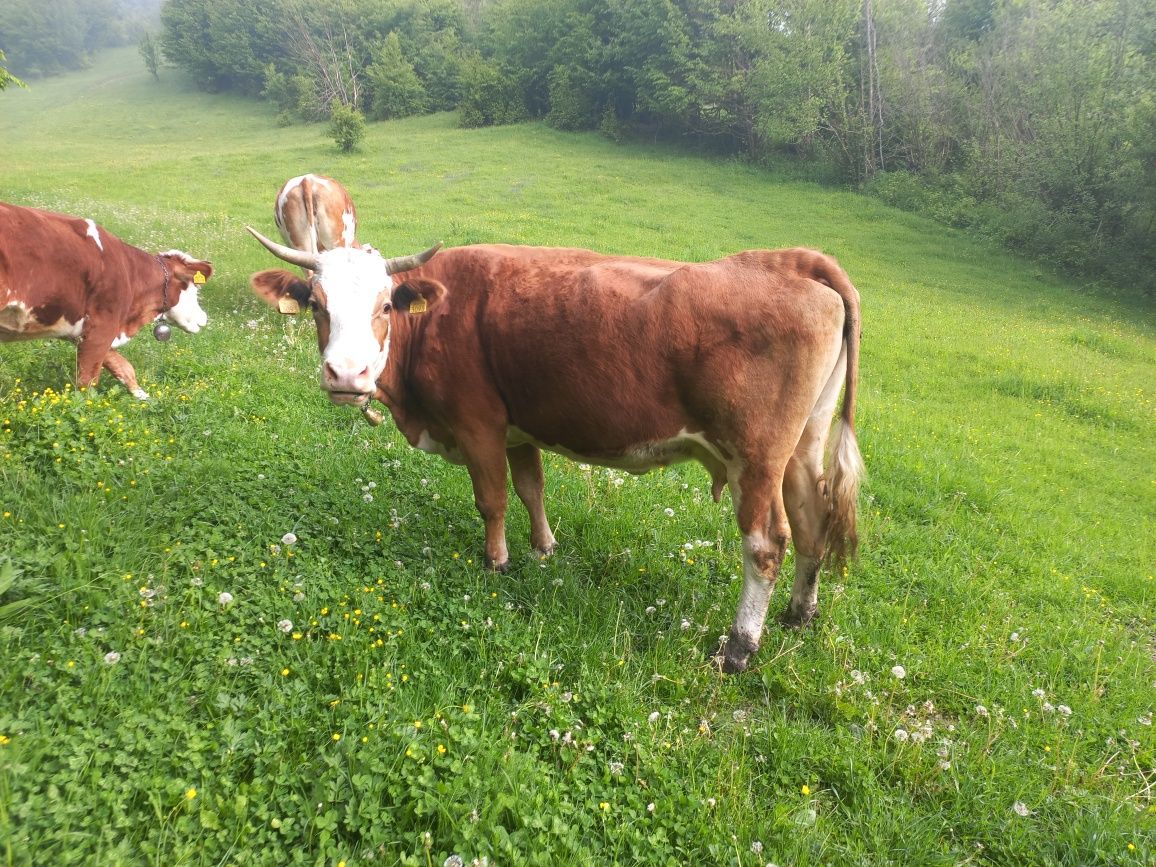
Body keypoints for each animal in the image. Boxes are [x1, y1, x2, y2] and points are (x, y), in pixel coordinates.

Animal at [1, 202, 213, 399]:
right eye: (196, 290)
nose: (204, 317)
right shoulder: (102, 327)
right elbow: (87, 384)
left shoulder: (84, 331)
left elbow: (124, 367)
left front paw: (144, 397)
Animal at [253, 234, 869, 675]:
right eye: (316, 304)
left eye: (384, 305)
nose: (346, 375)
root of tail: (792, 261)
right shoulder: (519, 429)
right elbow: (532, 488)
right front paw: (544, 548)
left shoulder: (478, 425)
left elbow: (493, 499)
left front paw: (496, 563)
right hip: (803, 447)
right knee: (812, 524)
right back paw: (799, 614)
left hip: (756, 459)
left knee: (766, 544)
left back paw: (740, 647)